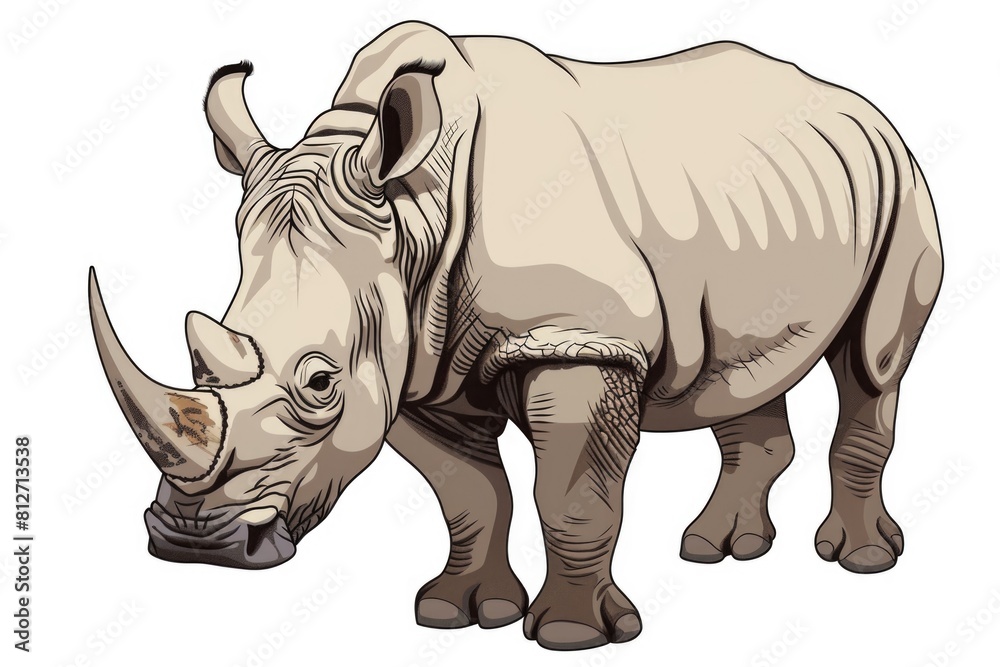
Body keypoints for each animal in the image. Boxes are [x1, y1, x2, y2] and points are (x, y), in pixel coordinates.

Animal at [90, 21, 942, 650]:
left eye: (320, 382)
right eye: (201, 353)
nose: (194, 541)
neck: (413, 213)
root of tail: (860, 105)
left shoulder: (577, 339)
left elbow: (571, 493)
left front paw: (573, 635)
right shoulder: (411, 360)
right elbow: (468, 490)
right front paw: (458, 613)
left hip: (901, 175)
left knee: (874, 363)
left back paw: (861, 559)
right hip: (761, 206)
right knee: (741, 370)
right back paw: (717, 548)